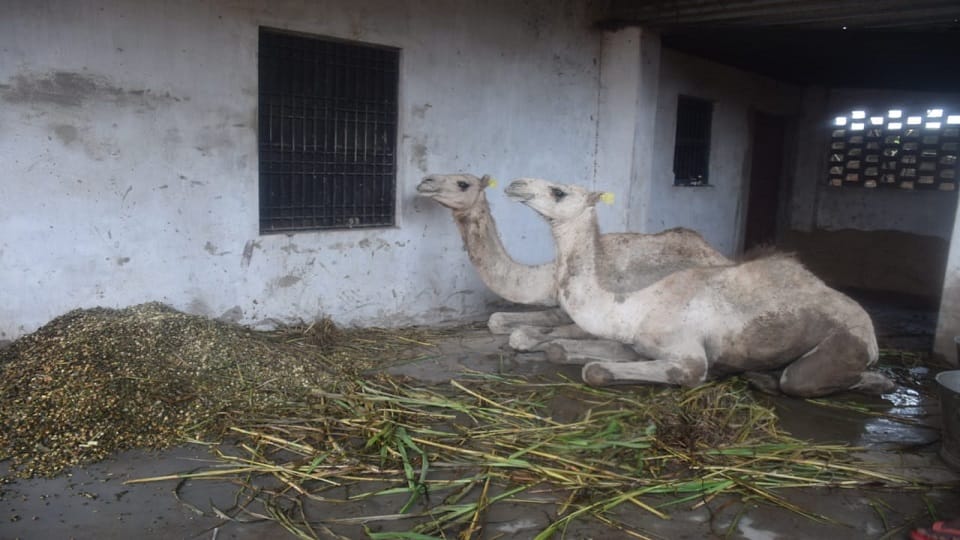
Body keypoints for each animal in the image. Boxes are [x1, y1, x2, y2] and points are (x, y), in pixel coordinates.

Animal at [504, 177, 896, 397]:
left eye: (558, 191)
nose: (515, 184)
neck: (633, 308)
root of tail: (872, 333)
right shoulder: (634, 345)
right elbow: (570, 354)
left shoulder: (688, 354)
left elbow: (597, 371)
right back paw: (760, 377)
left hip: (846, 342)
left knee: (800, 381)